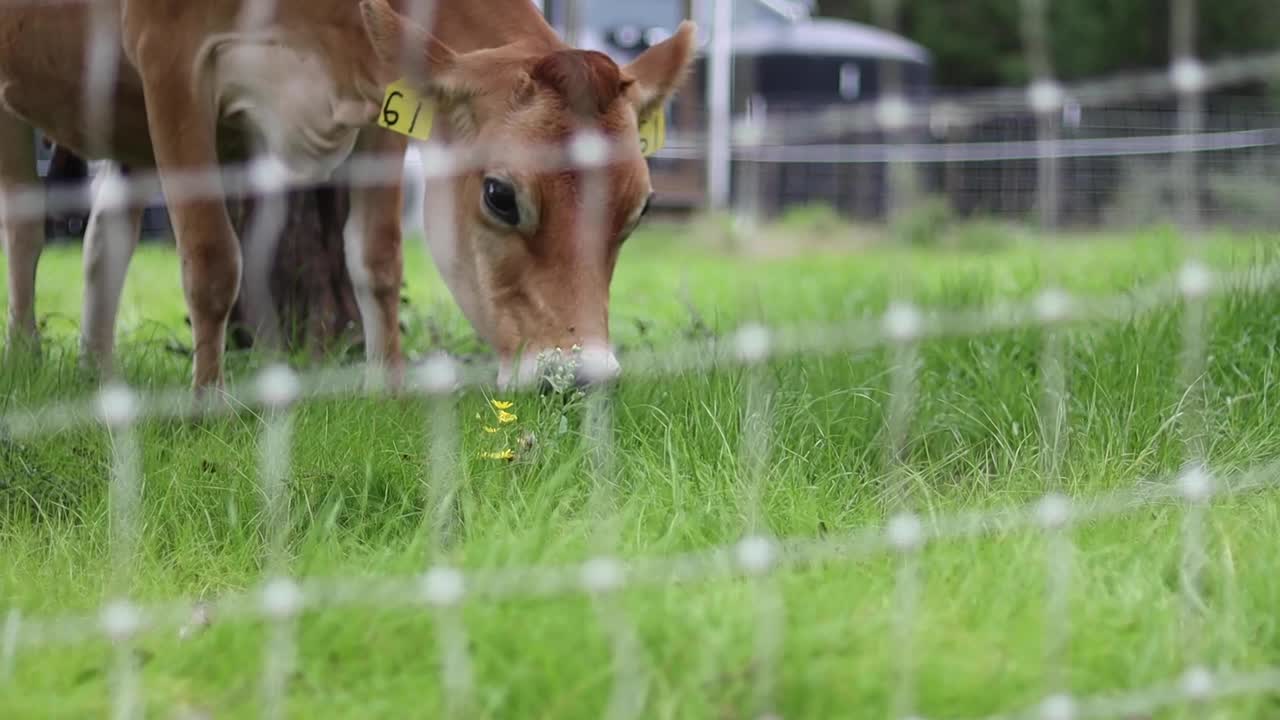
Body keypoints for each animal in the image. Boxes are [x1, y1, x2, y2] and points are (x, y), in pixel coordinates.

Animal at [0, 0, 696, 389]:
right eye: (500, 195)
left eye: (640, 208)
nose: (585, 378)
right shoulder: (170, 61)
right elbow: (211, 260)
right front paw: (206, 408)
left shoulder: (381, 102)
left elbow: (377, 256)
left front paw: (387, 390)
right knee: (26, 226)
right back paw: (28, 357)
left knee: (103, 234)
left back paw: (101, 375)